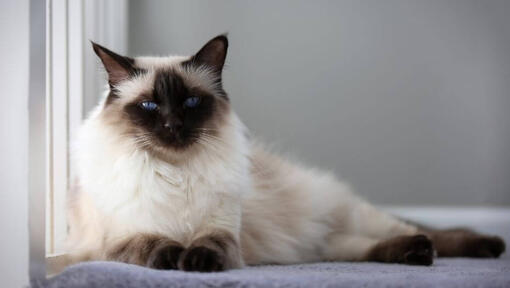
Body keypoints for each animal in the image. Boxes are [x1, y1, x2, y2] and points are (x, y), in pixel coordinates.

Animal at [66, 35, 506, 272]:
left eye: (190, 103)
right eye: (150, 107)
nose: (173, 126)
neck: (176, 172)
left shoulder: (223, 233)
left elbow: (208, 245)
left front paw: (197, 263)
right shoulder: (121, 240)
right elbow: (156, 245)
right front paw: (179, 257)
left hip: (355, 219)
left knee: (430, 233)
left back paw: (484, 246)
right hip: (324, 246)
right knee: (367, 247)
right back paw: (417, 253)